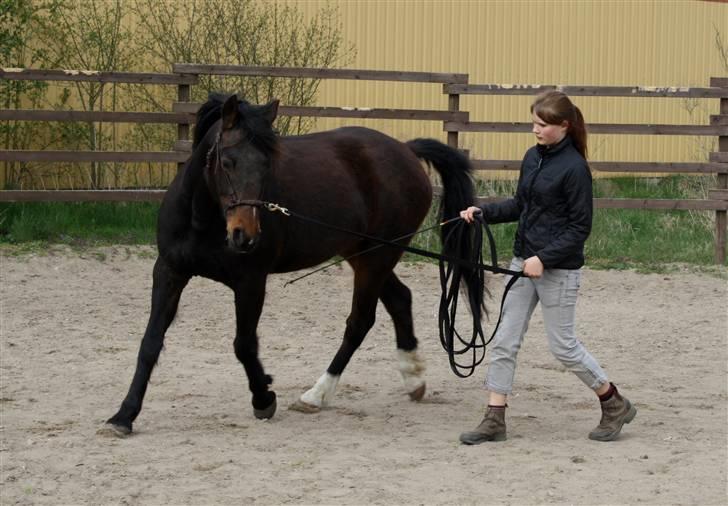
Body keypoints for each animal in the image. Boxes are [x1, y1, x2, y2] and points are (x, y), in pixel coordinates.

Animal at [106, 92, 484, 434]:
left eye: (266, 165)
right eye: (227, 162)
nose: (245, 235)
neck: (203, 219)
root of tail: (406, 150)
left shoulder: (250, 282)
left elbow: (244, 345)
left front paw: (263, 397)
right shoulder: (169, 272)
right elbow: (150, 342)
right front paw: (124, 415)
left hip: (376, 258)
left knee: (360, 321)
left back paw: (316, 395)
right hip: (364, 255)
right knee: (400, 300)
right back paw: (413, 379)